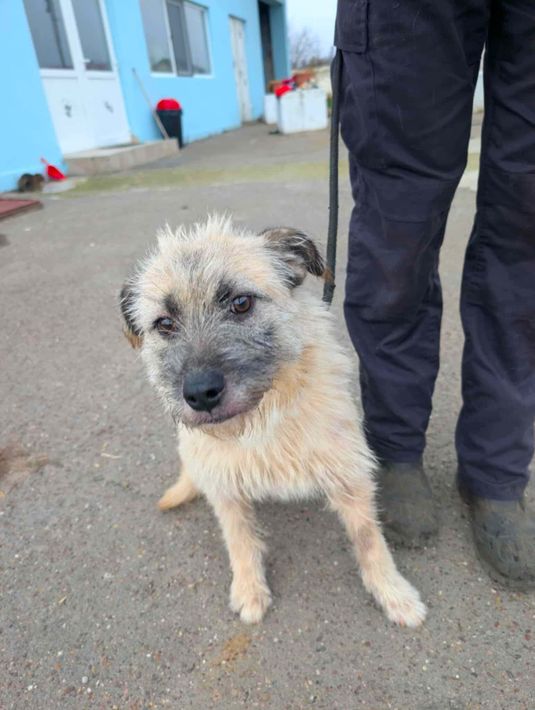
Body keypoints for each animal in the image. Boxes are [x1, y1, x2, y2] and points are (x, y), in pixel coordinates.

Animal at [120, 215, 426, 627]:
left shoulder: (348, 473)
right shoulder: (225, 486)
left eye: (241, 302)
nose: (200, 393)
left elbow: (368, 536)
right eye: (164, 323)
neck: (261, 422)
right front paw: (250, 590)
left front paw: (393, 592)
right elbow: (239, 539)